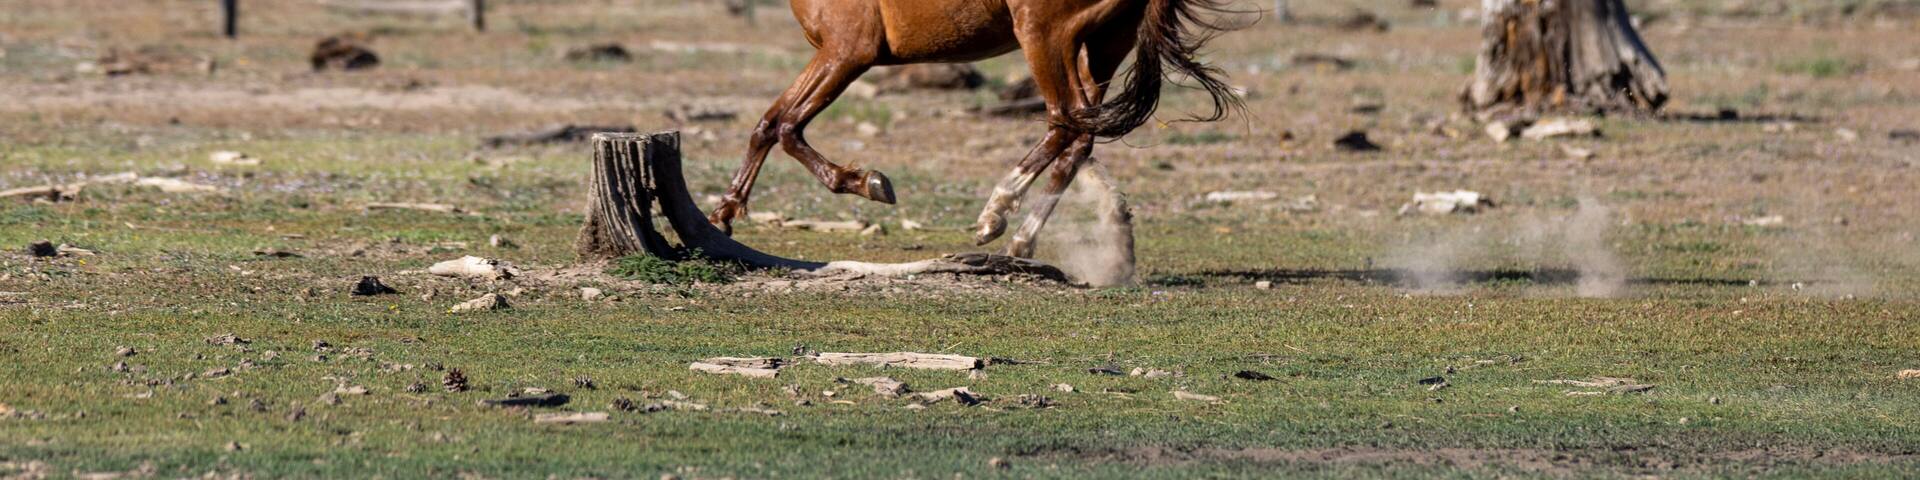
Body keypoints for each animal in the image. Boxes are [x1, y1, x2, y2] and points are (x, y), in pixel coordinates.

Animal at [707, 0, 1242, 258]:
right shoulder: (836, 54)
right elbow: (769, 123)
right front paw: (723, 214)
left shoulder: (847, 51)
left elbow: (788, 127)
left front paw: (869, 182)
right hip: (1101, 45)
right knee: (1081, 133)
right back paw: (1020, 241)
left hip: (1044, 37)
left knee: (1064, 120)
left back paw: (995, 214)